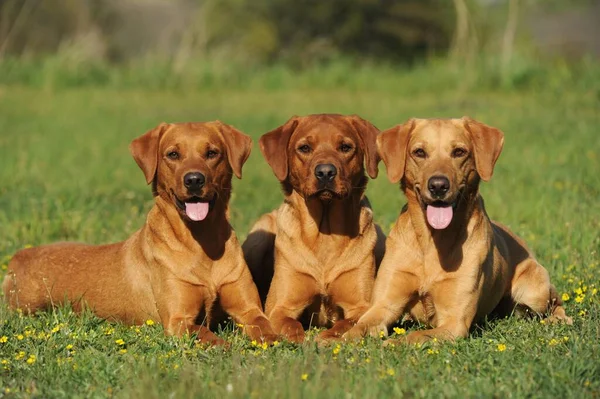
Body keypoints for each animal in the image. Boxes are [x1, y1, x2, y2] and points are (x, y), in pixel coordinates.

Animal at [2, 122, 278, 346]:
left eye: (212, 153)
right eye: (173, 154)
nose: (194, 180)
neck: (203, 242)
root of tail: (18, 257)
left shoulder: (249, 308)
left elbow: (265, 326)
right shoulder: (178, 319)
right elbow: (209, 335)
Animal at [243, 113, 384, 344]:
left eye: (345, 147)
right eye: (305, 148)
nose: (325, 172)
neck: (324, 234)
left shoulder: (361, 305)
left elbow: (345, 324)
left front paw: (327, 336)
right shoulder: (279, 306)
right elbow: (289, 324)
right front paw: (298, 338)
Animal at [342, 117, 572, 346]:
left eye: (459, 152)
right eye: (419, 152)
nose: (438, 185)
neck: (432, 241)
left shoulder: (454, 322)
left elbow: (415, 336)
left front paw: (391, 343)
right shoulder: (383, 304)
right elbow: (357, 328)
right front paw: (338, 341)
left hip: (534, 291)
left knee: (556, 302)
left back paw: (559, 319)